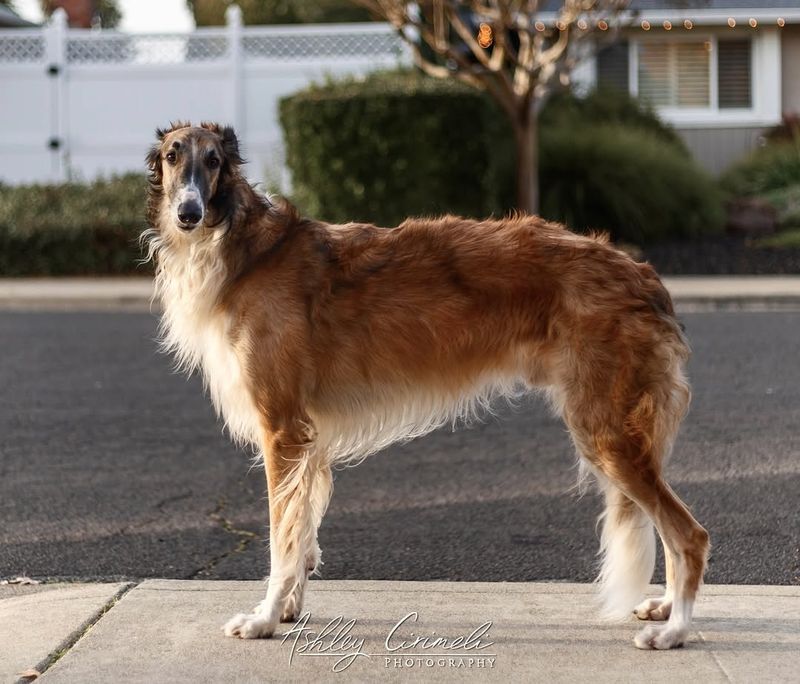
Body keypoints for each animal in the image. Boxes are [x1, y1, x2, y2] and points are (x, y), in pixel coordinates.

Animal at [142, 120, 708, 648]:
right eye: (173, 156)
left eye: (214, 160)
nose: (188, 213)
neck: (247, 249)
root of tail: (642, 274)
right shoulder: (309, 439)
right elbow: (302, 537)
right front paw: (287, 610)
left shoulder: (282, 430)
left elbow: (282, 543)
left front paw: (262, 619)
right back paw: (662, 607)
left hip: (604, 431)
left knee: (690, 534)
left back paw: (674, 631)